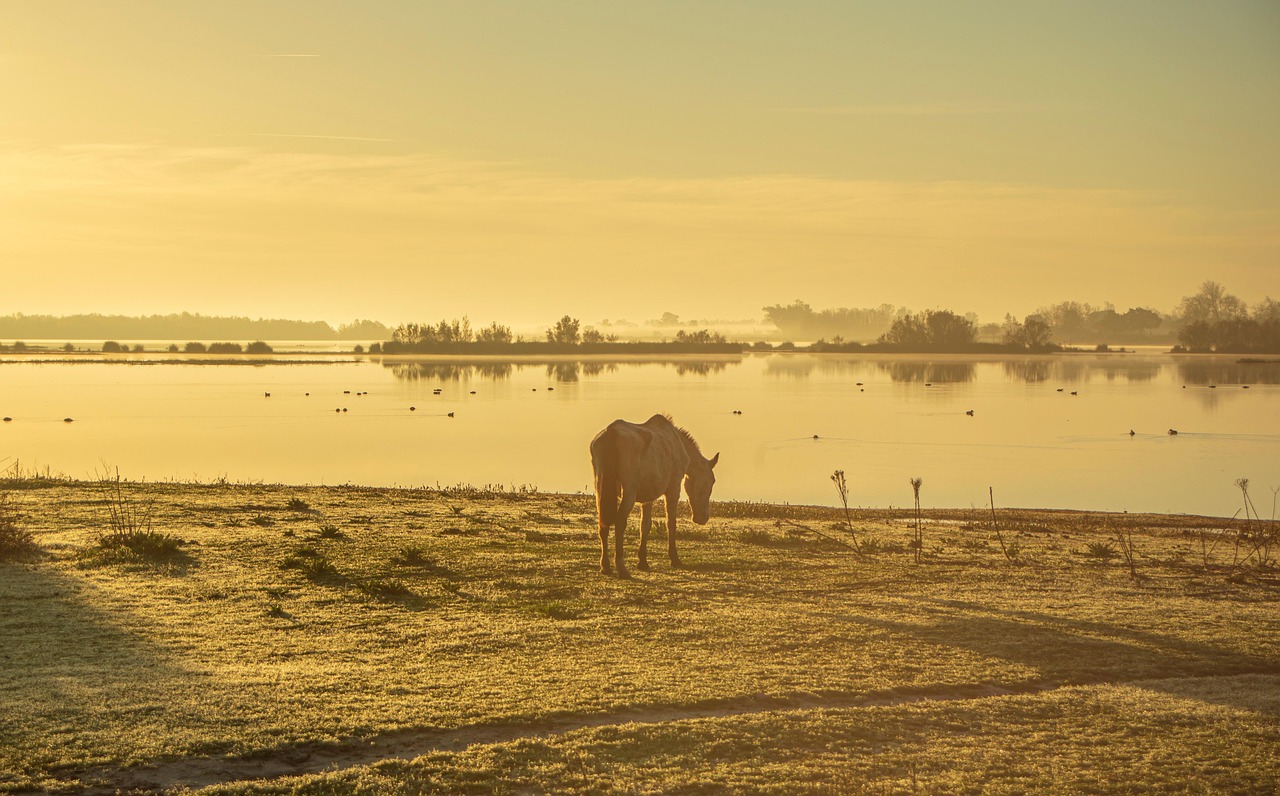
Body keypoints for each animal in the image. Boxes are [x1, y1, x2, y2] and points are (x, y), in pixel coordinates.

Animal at [588, 414, 721, 575]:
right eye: (712, 481)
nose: (702, 518)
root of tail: (611, 432)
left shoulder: (648, 496)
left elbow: (645, 525)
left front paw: (643, 561)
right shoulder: (673, 488)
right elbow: (671, 523)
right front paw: (674, 559)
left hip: (600, 490)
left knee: (603, 524)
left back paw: (605, 566)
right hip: (629, 492)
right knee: (620, 522)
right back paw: (621, 567)